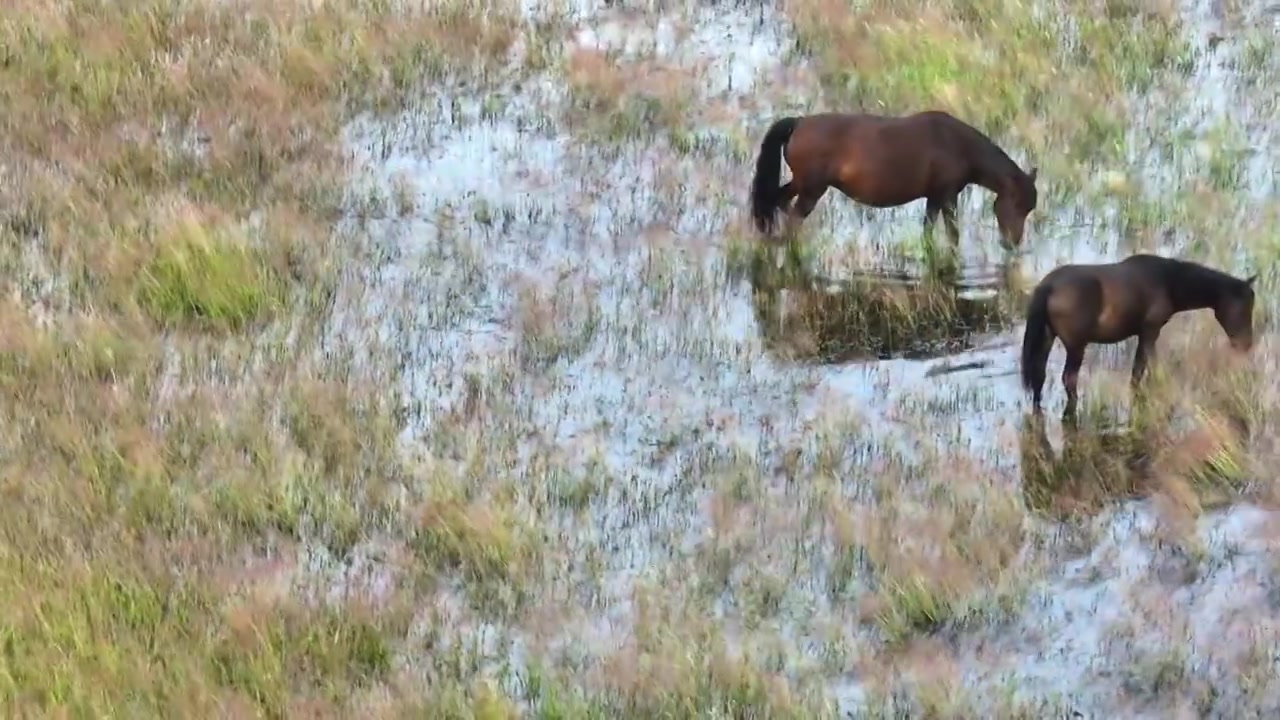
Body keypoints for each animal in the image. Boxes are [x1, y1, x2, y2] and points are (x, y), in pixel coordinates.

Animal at [747, 109, 1039, 248]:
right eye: (1017, 204)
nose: (1012, 244)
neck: (957, 145)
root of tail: (799, 122)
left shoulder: (934, 197)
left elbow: (928, 231)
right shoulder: (947, 196)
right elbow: (953, 234)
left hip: (803, 184)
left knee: (778, 201)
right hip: (812, 189)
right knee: (792, 217)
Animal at [1018, 254, 1259, 417]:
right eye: (1242, 307)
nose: (1246, 344)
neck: (1168, 280)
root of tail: (1049, 285)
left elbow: (1144, 369)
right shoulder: (1150, 331)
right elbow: (1141, 369)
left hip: (1047, 337)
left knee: (1039, 376)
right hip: (1076, 346)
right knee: (1069, 378)